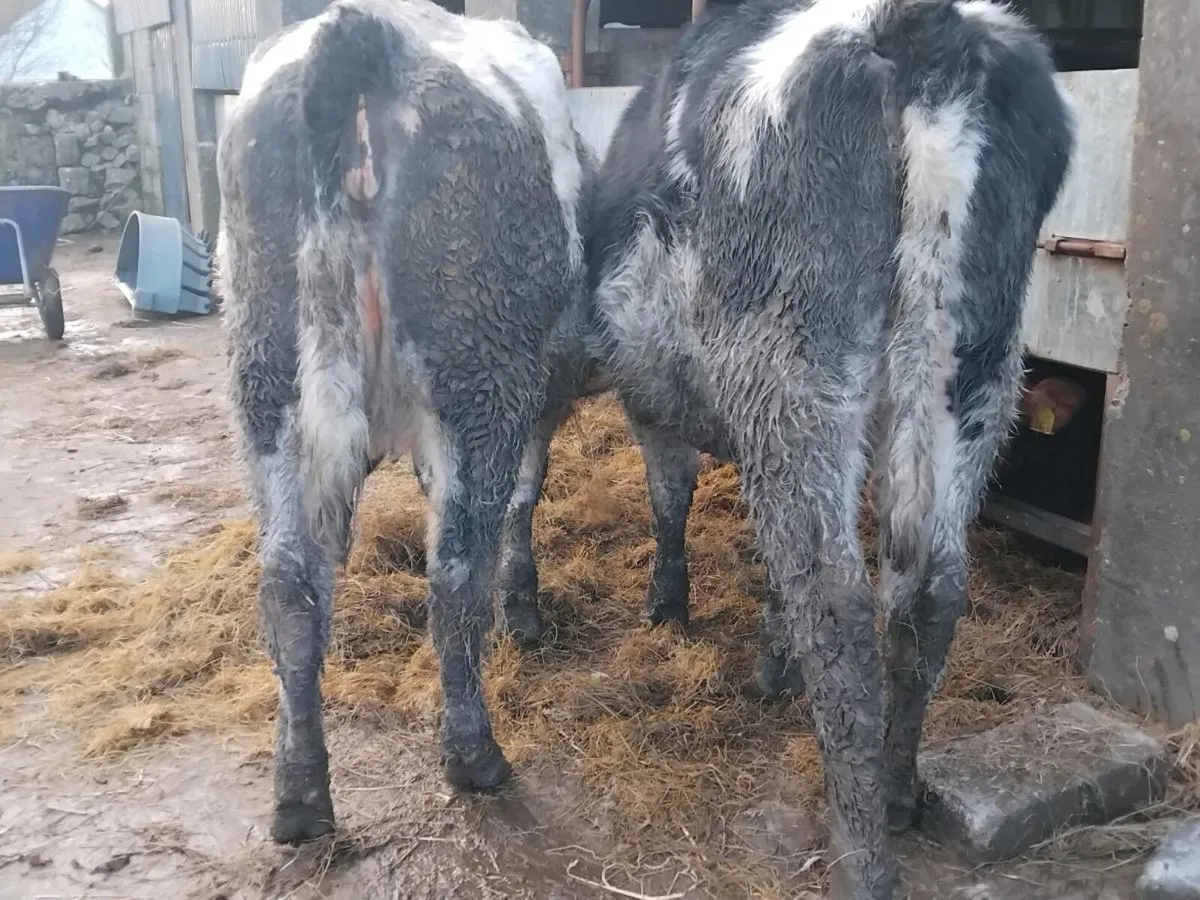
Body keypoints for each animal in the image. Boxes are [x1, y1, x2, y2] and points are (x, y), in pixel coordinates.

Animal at [217, 0, 593, 844]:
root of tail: (365, 35)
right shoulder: (536, 392)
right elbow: (521, 502)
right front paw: (524, 611)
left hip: (268, 379)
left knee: (288, 582)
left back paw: (299, 799)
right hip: (480, 376)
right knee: (453, 576)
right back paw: (476, 757)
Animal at [501, 0, 1075, 895]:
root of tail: (925, 29)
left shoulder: (636, 386)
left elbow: (642, 489)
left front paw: (646, 606)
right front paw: (767, 656)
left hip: (795, 367)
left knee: (838, 599)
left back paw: (858, 851)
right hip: (977, 367)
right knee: (930, 587)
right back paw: (898, 793)